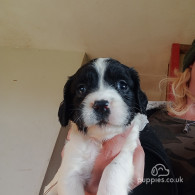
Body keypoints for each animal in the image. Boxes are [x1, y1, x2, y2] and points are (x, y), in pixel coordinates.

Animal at [43, 58, 148, 195]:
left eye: (123, 85)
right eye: (81, 89)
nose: (101, 105)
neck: (100, 140)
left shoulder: (126, 151)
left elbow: (112, 169)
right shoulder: (72, 165)